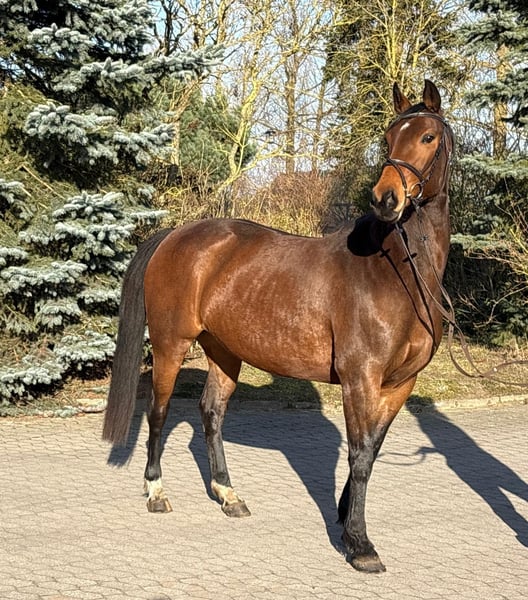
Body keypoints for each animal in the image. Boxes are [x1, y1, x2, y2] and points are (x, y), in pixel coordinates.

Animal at [103, 80, 454, 573]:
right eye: (388, 138)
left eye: (427, 137)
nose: (386, 199)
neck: (396, 271)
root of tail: (175, 235)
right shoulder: (360, 379)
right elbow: (360, 453)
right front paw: (360, 544)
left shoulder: (400, 384)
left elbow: (371, 451)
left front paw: (345, 518)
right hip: (173, 343)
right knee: (158, 412)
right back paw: (156, 491)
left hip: (224, 351)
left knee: (211, 413)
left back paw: (228, 495)